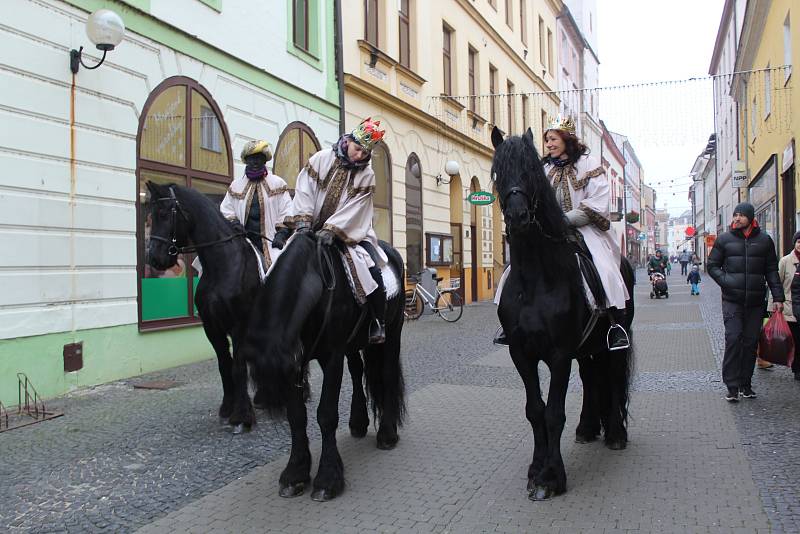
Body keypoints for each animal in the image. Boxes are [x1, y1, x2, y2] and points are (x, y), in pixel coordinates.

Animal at [146, 182, 376, 438]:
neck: (224, 266)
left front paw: (242, 416)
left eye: (165, 213)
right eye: (150, 214)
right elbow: (224, 365)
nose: (154, 258)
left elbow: (237, 367)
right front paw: (228, 408)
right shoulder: (212, 327)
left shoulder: (239, 325)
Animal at [242, 233, 406, 502]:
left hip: (393, 331)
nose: (264, 403)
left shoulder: (331, 357)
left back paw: (387, 434)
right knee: (357, 370)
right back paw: (358, 422)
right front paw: (295, 472)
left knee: (388, 374)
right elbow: (297, 415)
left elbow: (326, 415)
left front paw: (328, 478)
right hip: (354, 342)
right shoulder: (296, 361)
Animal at [490, 129, 636, 502]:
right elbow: (535, 410)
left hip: (614, 341)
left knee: (613, 377)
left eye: (531, 170)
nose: (518, 217)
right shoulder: (521, 354)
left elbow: (554, 413)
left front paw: (551, 477)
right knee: (591, 377)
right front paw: (535, 468)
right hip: (586, 348)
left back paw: (616, 433)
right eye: (498, 172)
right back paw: (588, 427)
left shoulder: (558, 354)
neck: (536, 278)